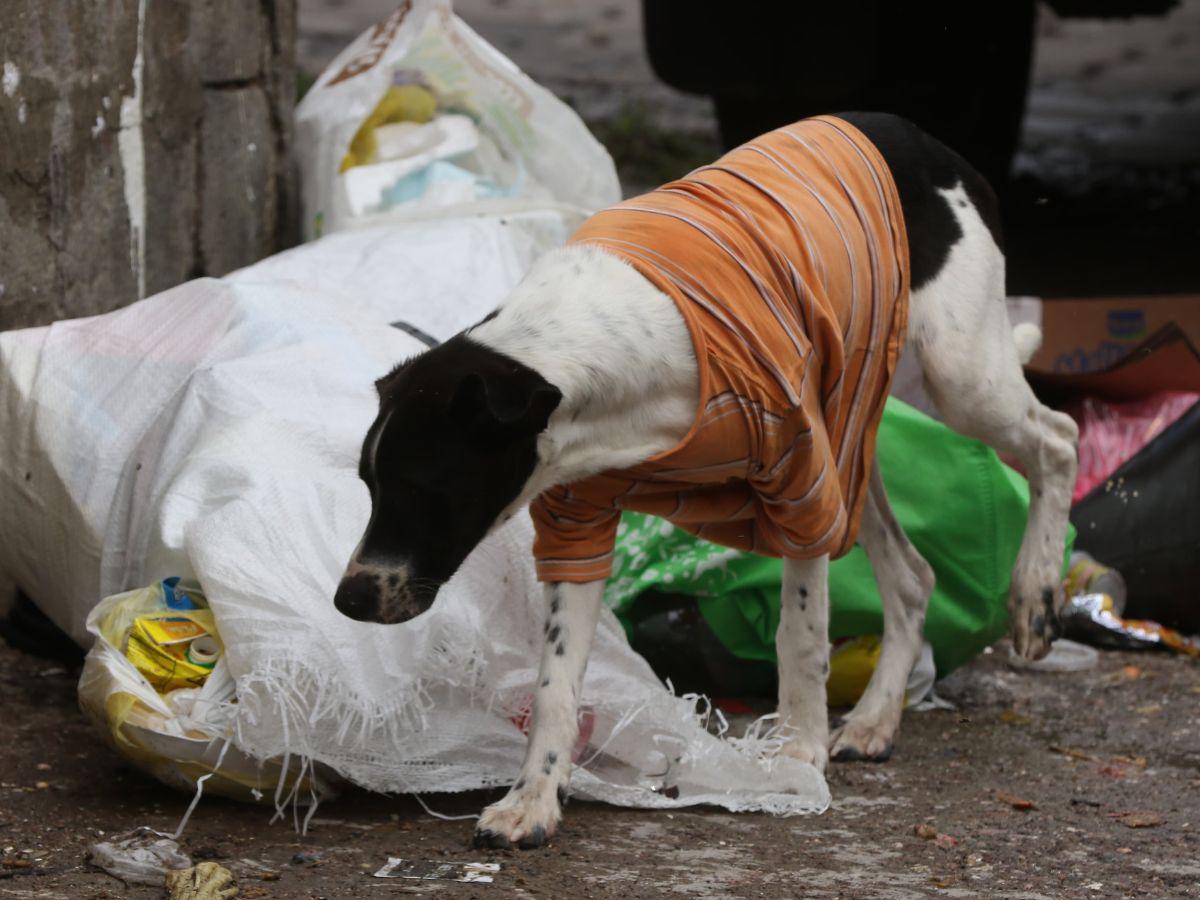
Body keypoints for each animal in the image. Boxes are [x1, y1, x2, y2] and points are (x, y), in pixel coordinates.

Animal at [331, 114, 1080, 854]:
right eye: (367, 484)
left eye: (425, 491)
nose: (348, 599)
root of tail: (927, 141)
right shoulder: (577, 519)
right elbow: (555, 682)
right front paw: (533, 797)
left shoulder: (802, 486)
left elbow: (800, 636)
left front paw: (798, 753)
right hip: (854, 440)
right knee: (915, 577)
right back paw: (875, 720)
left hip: (956, 377)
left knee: (1059, 440)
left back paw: (1034, 595)